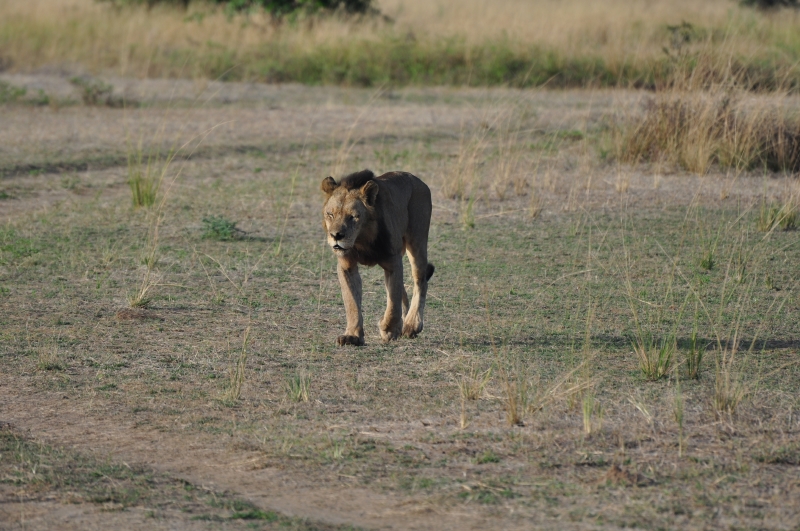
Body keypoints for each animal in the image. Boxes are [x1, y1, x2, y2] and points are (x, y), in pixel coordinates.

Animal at [321, 169, 435, 346]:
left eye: (353, 217)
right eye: (330, 214)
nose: (336, 236)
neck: (361, 240)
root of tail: (418, 180)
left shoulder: (393, 262)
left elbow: (393, 302)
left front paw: (388, 329)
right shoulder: (347, 266)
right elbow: (351, 302)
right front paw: (352, 336)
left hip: (417, 241)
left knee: (420, 282)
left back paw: (411, 325)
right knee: (402, 288)